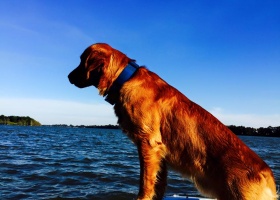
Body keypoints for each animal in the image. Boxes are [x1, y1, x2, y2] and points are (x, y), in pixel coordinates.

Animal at [68, 43, 278, 200]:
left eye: (82, 61)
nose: (68, 76)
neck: (125, 79)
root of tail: (268, 177)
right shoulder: (160, 152)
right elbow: (158, 184)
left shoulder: (148, 143)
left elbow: (146, 183)